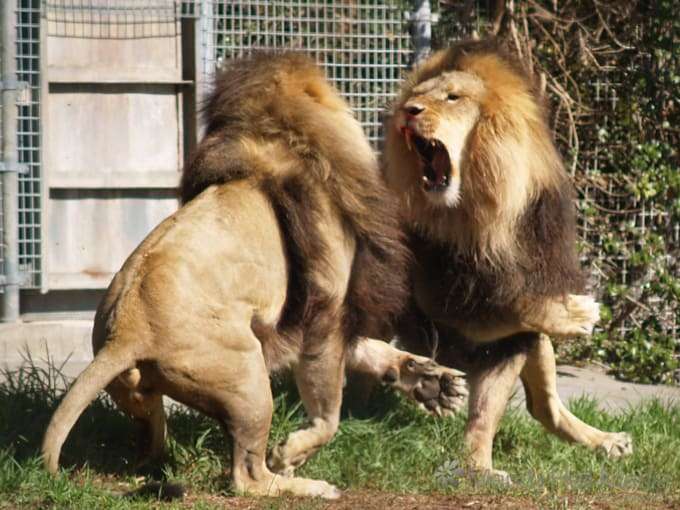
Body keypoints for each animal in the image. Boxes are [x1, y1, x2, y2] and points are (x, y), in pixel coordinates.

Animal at [41, 52, 467, 499]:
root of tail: (125, 334)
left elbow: (369, 350)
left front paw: (432, 381)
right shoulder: (327, 305)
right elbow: (328, 410)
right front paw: (292, 453)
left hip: (145, 398)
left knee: (152, 443)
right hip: (248, 381)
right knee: (246, 476)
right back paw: (306, 485)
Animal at [382, 39, 633, 481]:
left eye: (452, 97)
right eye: (417, 96)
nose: (408, 111)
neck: (476, 218)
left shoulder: (527, 280)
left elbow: (520, 312)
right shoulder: (439, 294)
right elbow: (517, 306)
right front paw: (580, 315)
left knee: (538, 407)